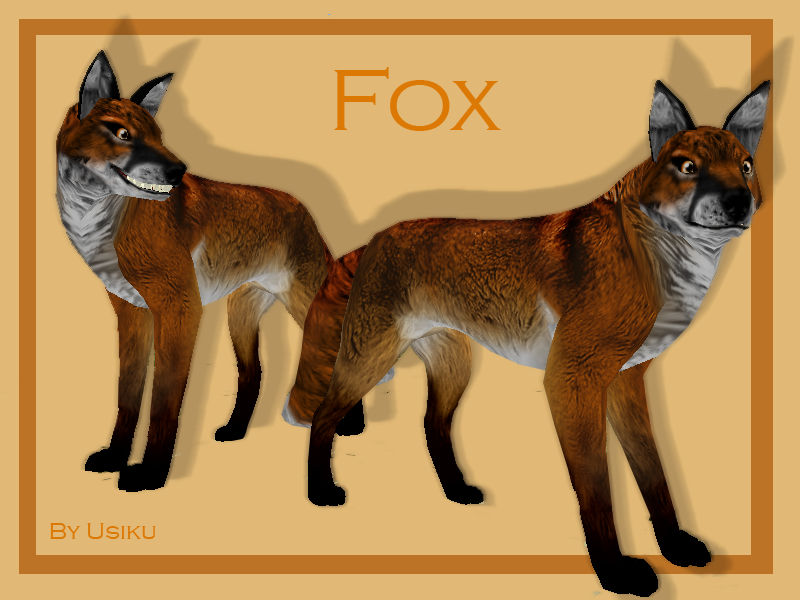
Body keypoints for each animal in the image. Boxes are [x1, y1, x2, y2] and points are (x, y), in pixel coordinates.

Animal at [56, 51, 362, 492]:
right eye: (122, 133)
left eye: (158, 136)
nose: (178, 171)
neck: (100, 225)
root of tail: (302, 208)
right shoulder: (132, 313)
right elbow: (128, 398)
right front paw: (114, 457)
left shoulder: (180, 309)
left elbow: (164, 404)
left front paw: (150, 475)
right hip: (241, 316)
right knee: (253, 374)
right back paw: (236, 431)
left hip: (304, 305)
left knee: (338, 357)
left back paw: (349, 423)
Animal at [299, 81, 770, 597]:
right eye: (688, 167)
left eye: (745, 166)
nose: (738, 202)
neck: (652, 258)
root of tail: (378, 236)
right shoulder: (571, 379)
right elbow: (598, 492)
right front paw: (615, 573)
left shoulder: (625, 381)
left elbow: (654, 477)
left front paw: (675, 547)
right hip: (369, 359)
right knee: (323, 417)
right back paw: (319, 492)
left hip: (453, 368)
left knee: (431, 425)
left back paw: (456, 490)